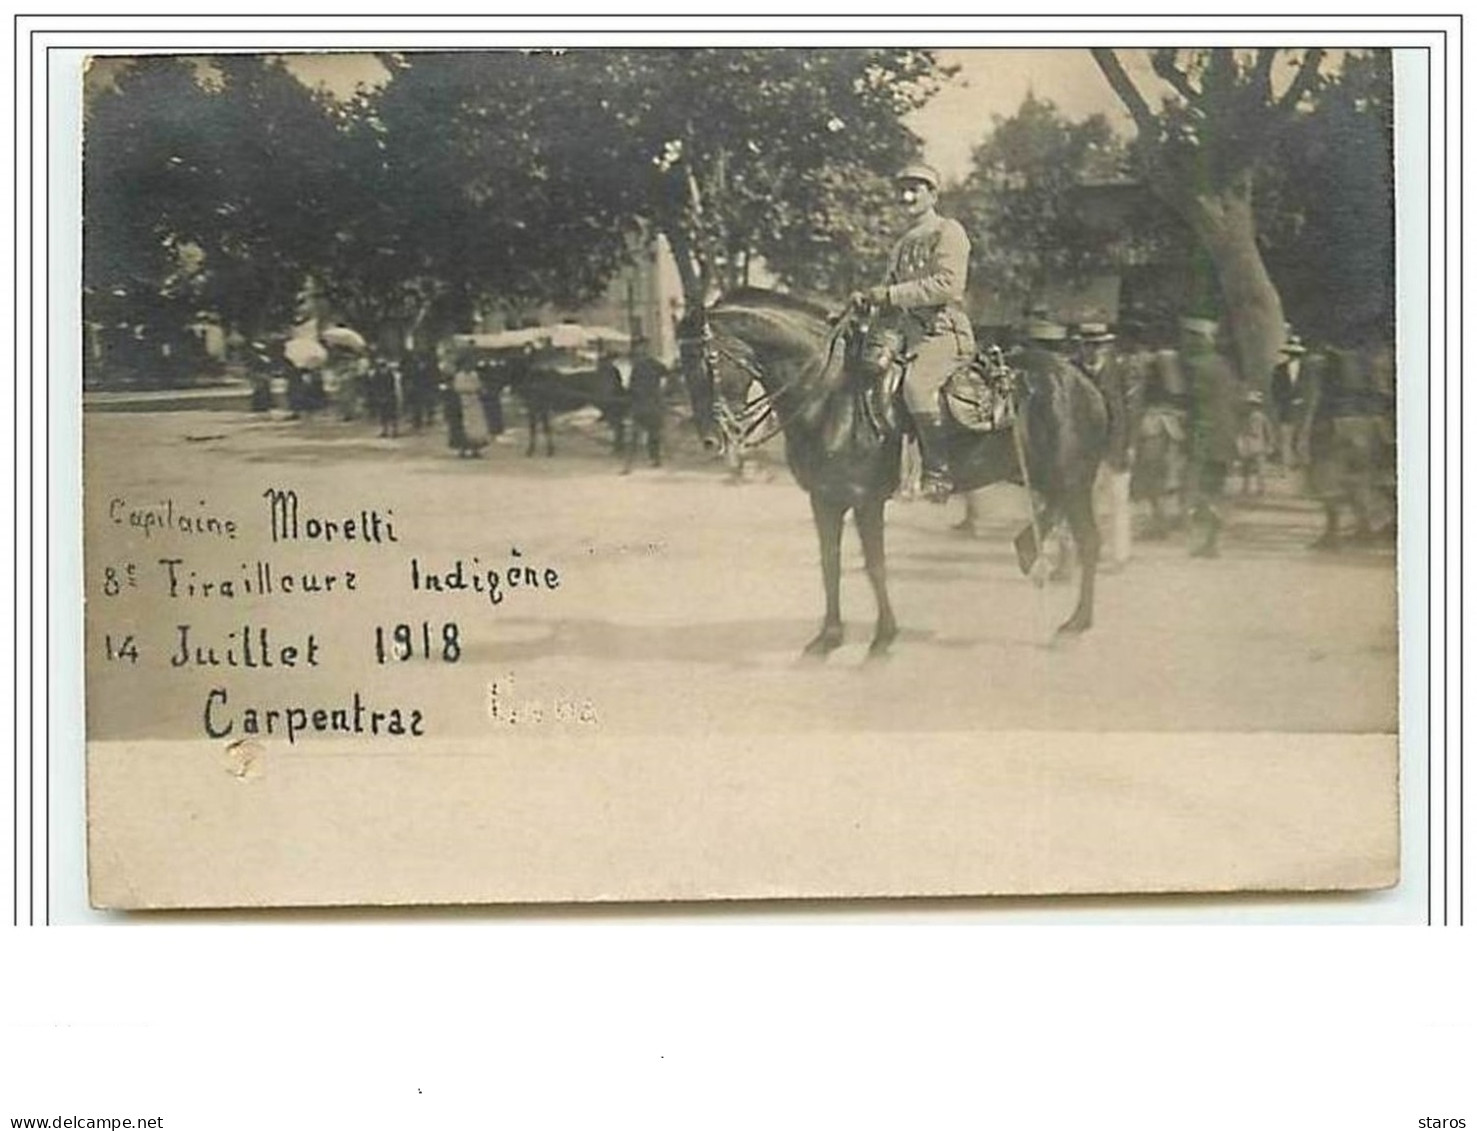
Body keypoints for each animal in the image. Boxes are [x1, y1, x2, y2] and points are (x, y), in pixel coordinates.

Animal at [679, 289, 1110, 655]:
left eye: (708, 362)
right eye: (683, 366)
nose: (712, 440)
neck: (831, 395)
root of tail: (1082, 379)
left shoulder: (864, 499)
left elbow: (875, 566)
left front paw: (882, 640)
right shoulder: (824, 499)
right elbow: (830, 564)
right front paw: (828, 638)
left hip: (1072, 479)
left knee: (1088, 540)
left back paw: (1074, 623)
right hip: (1041, 475)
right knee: (1053, 517)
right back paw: (1029, 553)